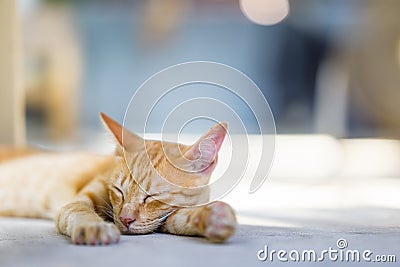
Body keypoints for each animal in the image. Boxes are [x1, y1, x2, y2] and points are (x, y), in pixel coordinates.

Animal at [0, 112, 236, 245]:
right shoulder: (75, 203)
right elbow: (80, 211)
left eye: (152, 197)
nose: (125, 219)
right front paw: (94, 227)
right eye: (119, 191)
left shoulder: (162, 219)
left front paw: (211, 217)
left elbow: (179, 219)